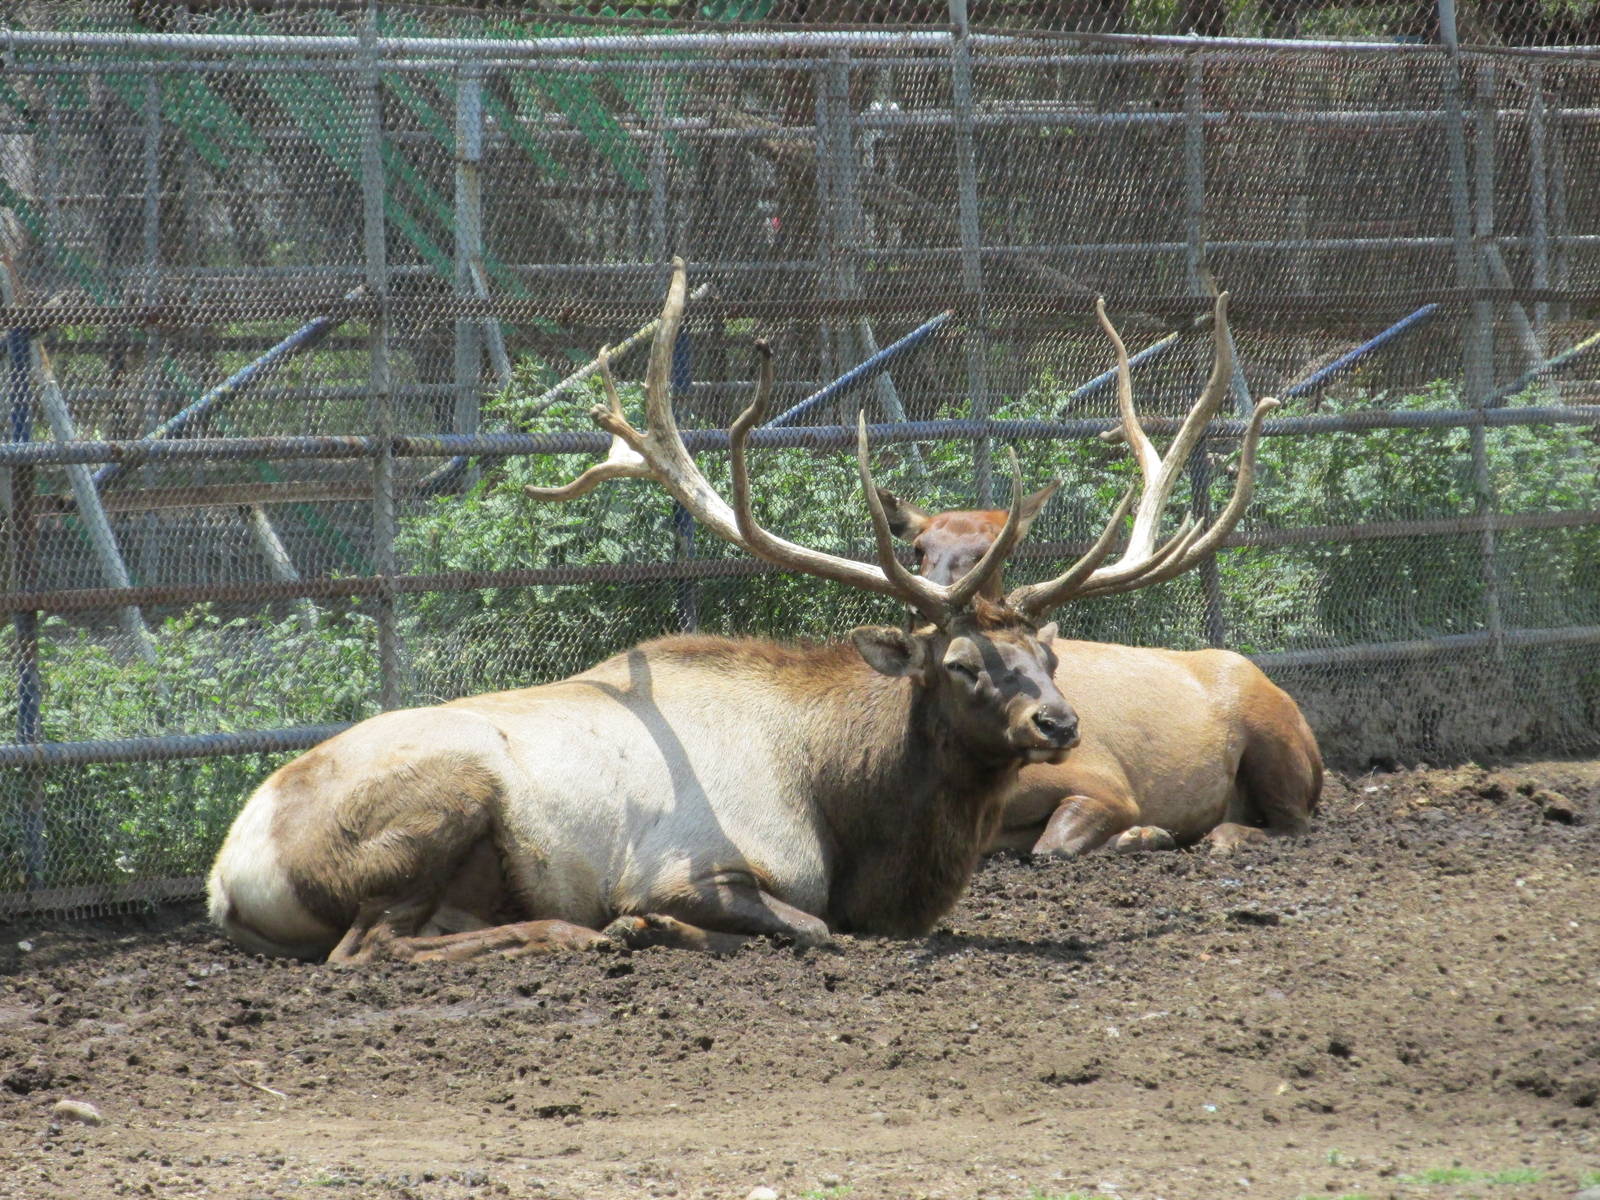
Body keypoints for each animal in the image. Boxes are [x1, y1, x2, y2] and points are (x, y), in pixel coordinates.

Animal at [876, 297, 1320, 857]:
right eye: (919, 548)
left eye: (989, 550)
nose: (924, 605)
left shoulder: (1103, 781)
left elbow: (1054, 844)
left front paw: (1142, 832)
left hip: (1274, 736)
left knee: (1293, 821)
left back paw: (1216, 835)